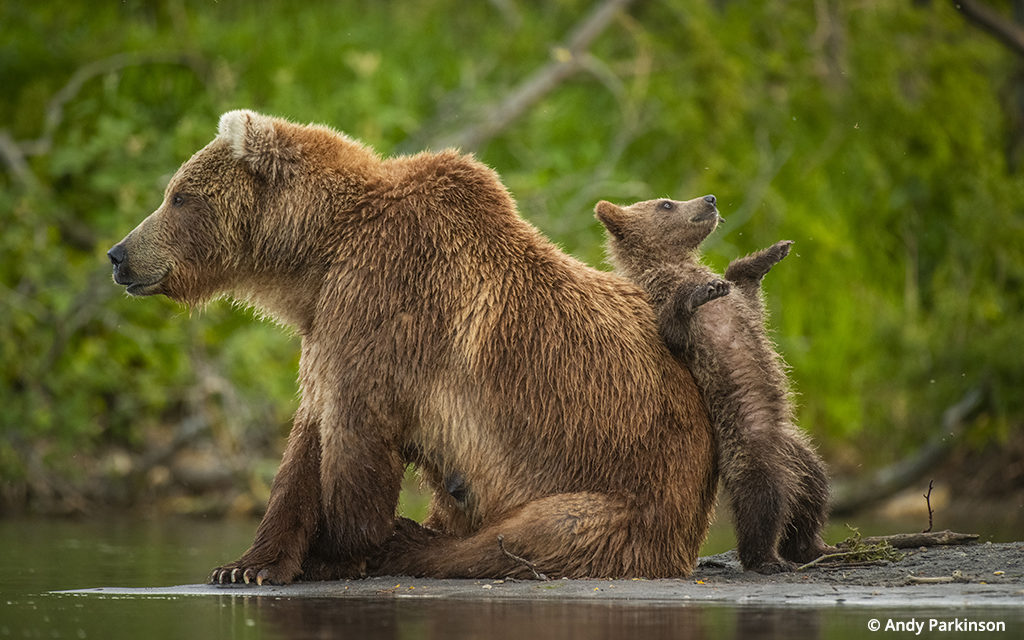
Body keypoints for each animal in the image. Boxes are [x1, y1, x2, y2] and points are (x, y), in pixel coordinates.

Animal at [108, 111, 716, 585]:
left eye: (178, 196)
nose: (119, 254)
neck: (317, 257)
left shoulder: (385, 304)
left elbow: (356, 433)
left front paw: (336, 552)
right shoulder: (328, 325)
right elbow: (306, 440)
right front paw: (246, 565)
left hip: (629, 486)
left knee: (538, 533)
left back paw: (411, 540)